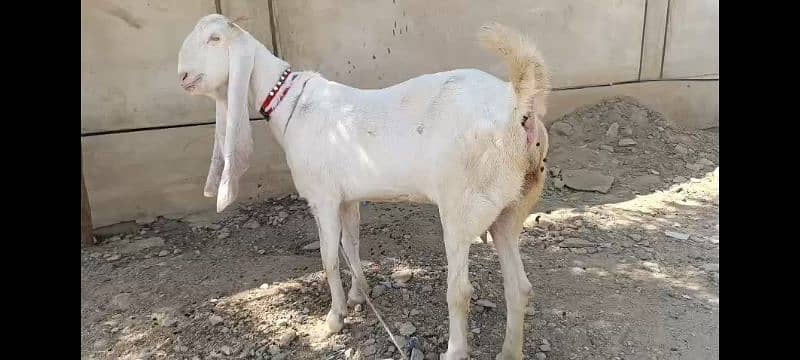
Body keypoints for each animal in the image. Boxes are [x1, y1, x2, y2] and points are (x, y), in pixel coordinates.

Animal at [177, 14, 548, 360]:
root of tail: (517, 107)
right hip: (513, 204)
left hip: (462, 202)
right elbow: (351, 244)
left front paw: (335, 317)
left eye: (215, 39)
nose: (182, 76)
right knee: (520, 286)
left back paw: (455, 350)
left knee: (461, 290)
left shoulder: (323, 197)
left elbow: (329, 256)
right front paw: (359, 294)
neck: (290, 102)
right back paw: (510, 351)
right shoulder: (347, 198)